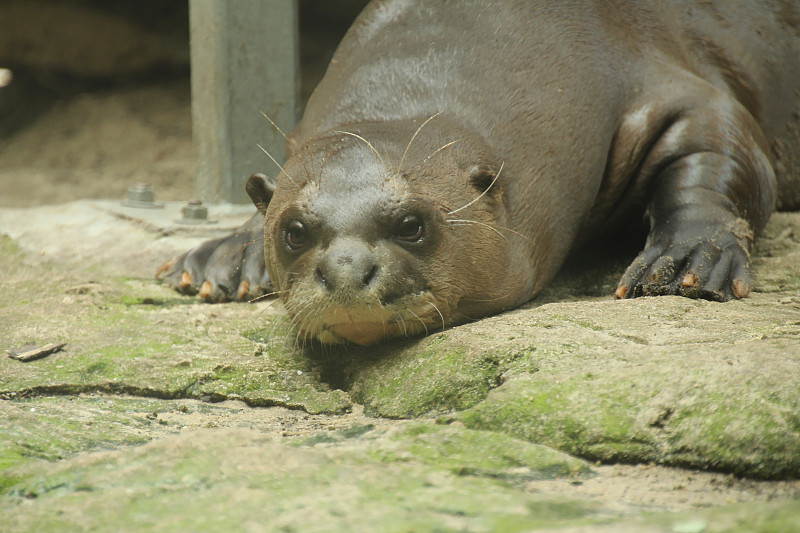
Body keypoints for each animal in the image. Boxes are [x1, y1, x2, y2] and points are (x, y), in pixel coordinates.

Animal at [158, 1, 800, 344]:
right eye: (292, 231)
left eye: (412, 225)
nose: (343, 271)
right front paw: (228, 253)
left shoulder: (673, 83)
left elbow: (723, 146)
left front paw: (685, 256)